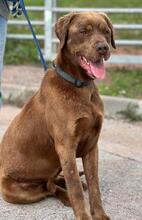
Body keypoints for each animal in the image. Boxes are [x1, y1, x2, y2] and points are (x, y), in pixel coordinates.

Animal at [0, 12, 115, 220]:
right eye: (83, 31)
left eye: (106, 31)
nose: (103, 47)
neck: (80, 86)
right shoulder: (65, 146)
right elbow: (75, 188)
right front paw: (83, 214)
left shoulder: (92, 145)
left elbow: (94, 185)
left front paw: (99, 214)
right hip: (17, 192)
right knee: (48, 187)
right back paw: (65, 195)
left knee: (52, 182)